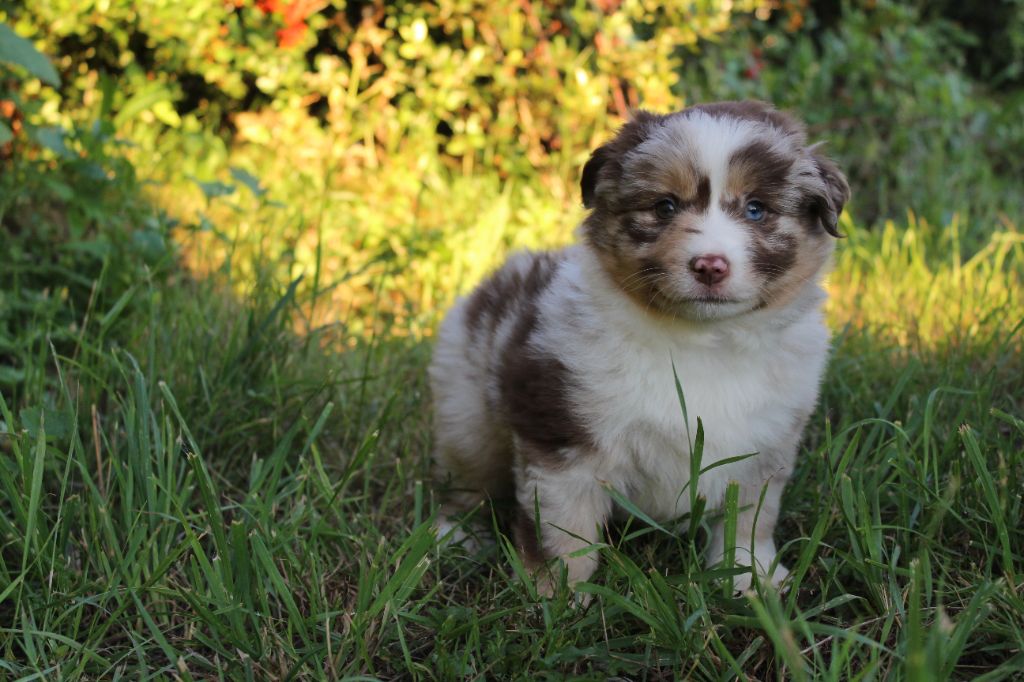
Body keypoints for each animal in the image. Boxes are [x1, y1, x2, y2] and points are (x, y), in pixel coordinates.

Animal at [429, 101, 849, 595]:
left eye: (756, 210)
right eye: (665, 206)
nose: (710, 265)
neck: (703, 341)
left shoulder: (766, 444)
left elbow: (751, 518)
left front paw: (752, 578)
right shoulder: (563, 436)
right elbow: (564, 529)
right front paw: (555, 595)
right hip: (466, 411)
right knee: (467, 479)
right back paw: (454, 535)